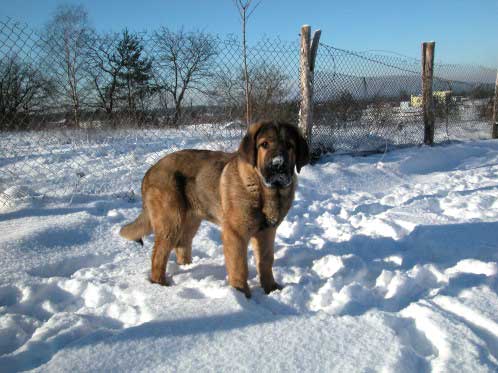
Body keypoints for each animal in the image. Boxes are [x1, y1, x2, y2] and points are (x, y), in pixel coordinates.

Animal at [119, 121, 310, 296]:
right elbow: (239, 267)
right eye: (264, 145)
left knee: (182, 245)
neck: (266, 191)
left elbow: (266, 261)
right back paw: (161, 286)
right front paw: (242, 295)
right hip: (171, 221)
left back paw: (188, 267)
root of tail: (149, 171)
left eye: (290, 146)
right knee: (158, 256)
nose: (278, 164)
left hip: (191, 220)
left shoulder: (267, 232)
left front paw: (270, 289)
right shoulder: (235, 234)